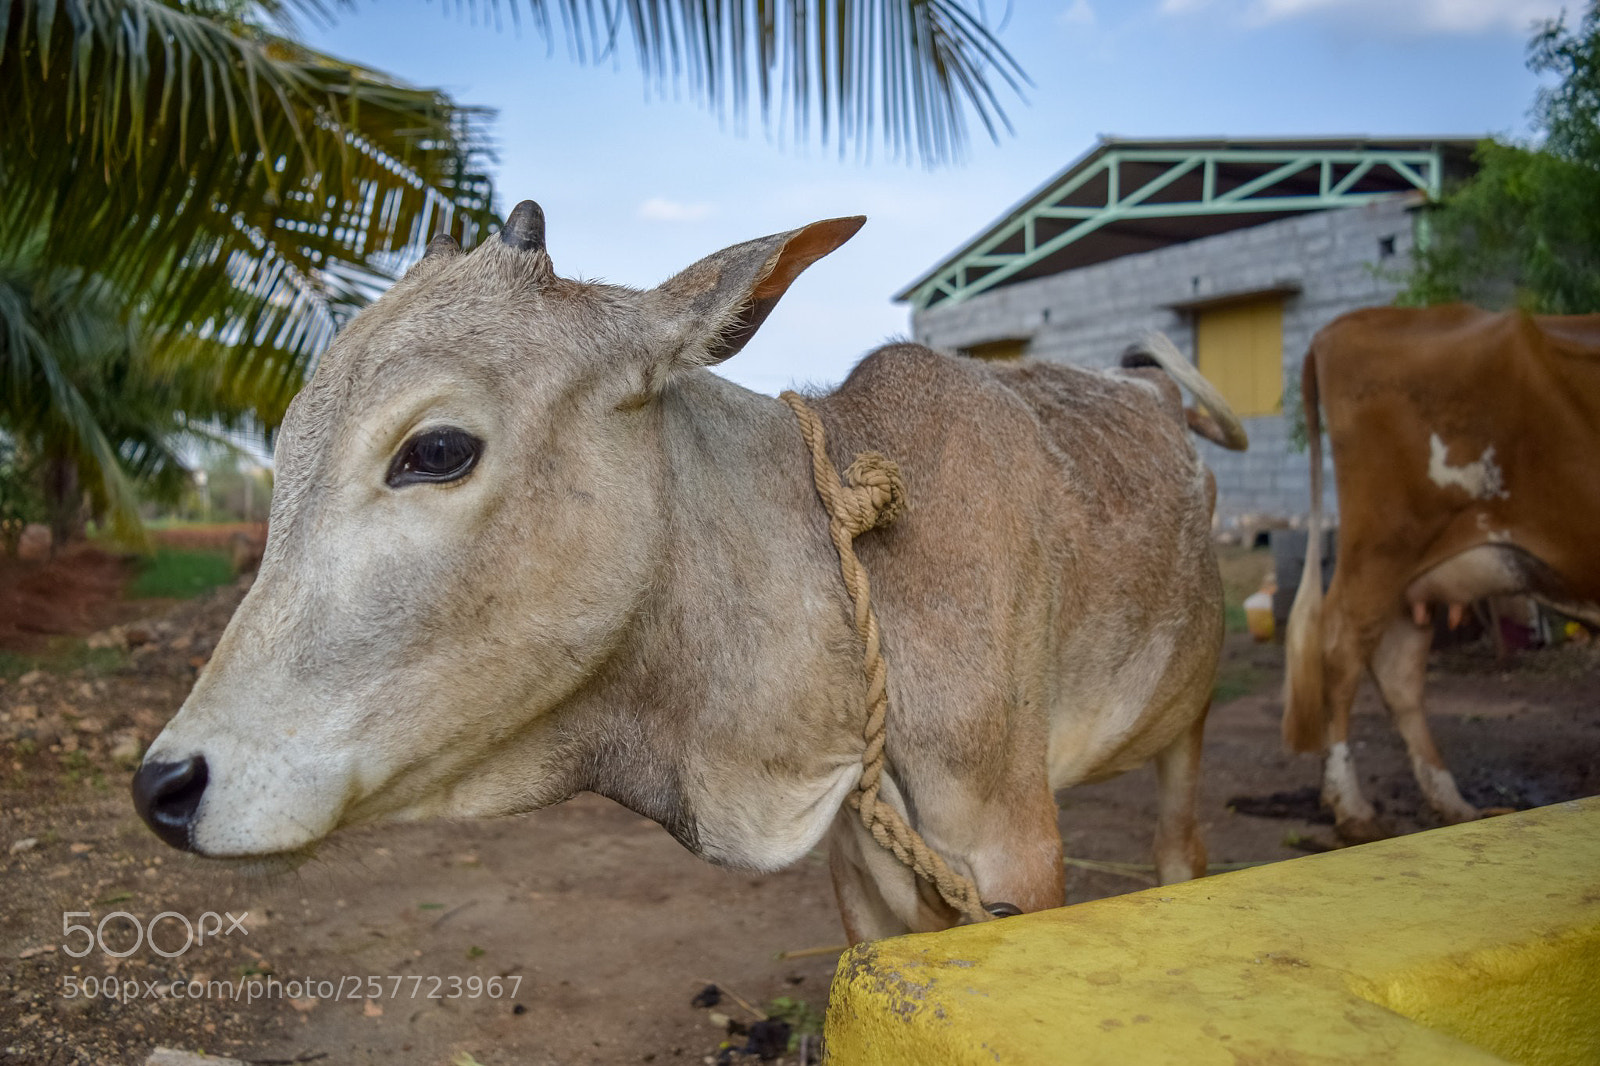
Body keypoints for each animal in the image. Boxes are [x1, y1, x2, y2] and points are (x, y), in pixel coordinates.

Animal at [132, 201, 1245, 942]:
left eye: (436, 450)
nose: (166, 787)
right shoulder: (864, 871)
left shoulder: (1016, 857)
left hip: (1187, 722)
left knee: (1182, 845)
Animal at [1284, 305, 1600, 842]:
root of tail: (1349, 323)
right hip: (1384, 546)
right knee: (1342, 652)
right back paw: (1352, 808)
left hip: (1414, 577)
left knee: (1397, 669)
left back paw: (1451, 802)